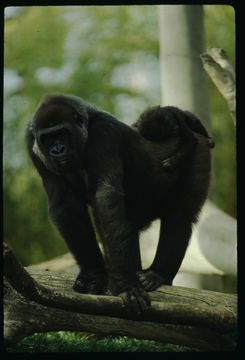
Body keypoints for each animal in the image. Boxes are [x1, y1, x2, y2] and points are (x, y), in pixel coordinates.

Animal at [25, 94, 213, 314]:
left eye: (63, 133)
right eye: (48, 138)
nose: (58, 150)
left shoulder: (103, 132)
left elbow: (105, 197)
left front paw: (124, 286)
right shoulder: (32, 143)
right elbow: (66, 206)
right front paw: (94, 274)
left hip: (199, 150)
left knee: (179, 217)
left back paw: (158, 274)